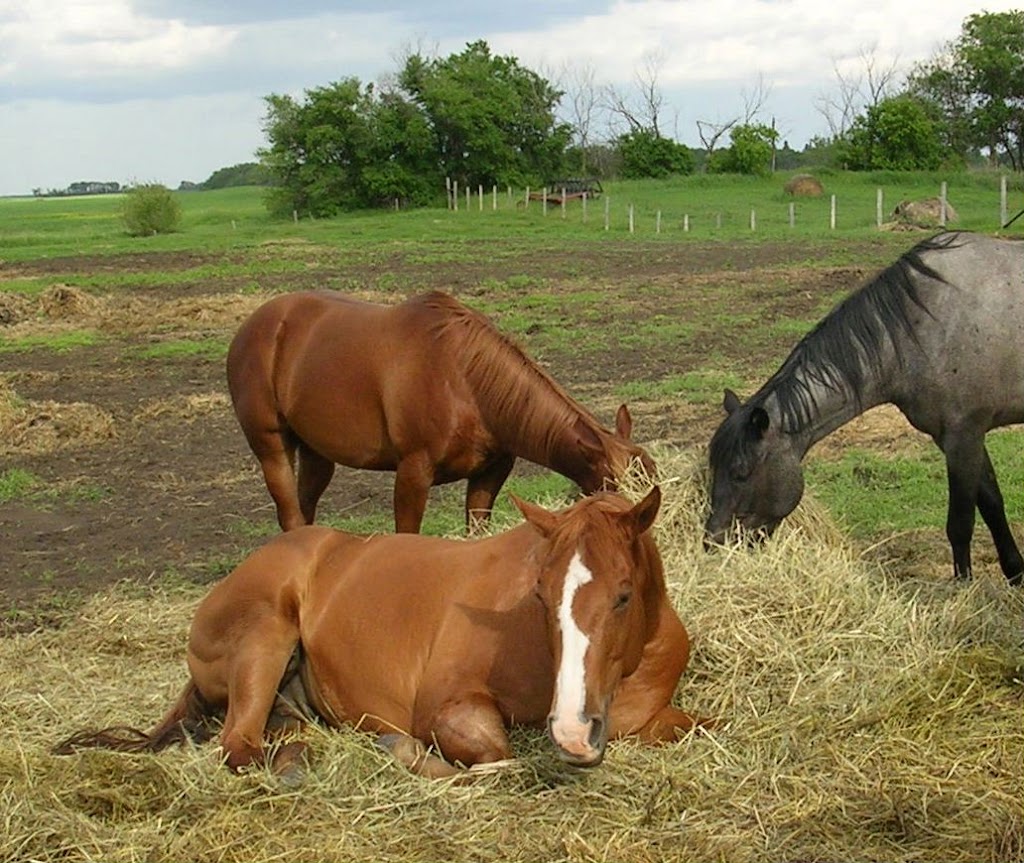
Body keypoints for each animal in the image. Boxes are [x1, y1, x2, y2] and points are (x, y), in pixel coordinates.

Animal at [56, 489, 704, 778]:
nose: (572, 730)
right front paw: (407, 751)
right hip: (266, 637)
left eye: (623, 595)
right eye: (541, 595)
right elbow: (496, 758)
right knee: (238, 744)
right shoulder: (446, 706)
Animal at [227, 290, 651, 532]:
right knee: (290, 514)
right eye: (619, 487)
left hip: (318, 453)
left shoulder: (490, 473)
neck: (465, 381)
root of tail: (255, 325)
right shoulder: (413, 474)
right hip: (272, 448)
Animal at [708, 231, 1024, 585]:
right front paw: (1015, 573)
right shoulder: (953, 437)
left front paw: (963, 587)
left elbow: (961, 523)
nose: (714, 542)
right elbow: (993, 504)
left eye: (741, 473)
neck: (921, 327)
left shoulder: (964, 435)